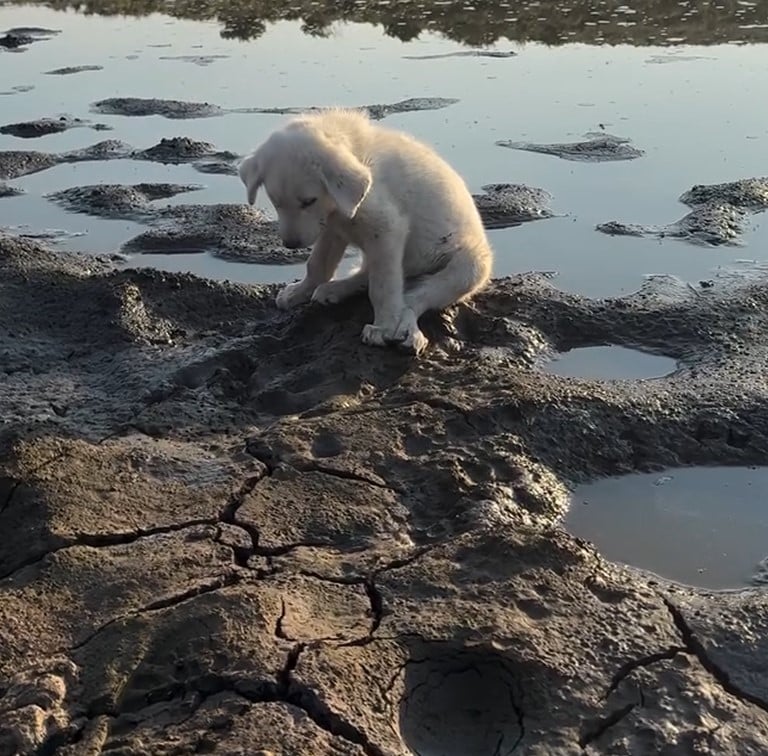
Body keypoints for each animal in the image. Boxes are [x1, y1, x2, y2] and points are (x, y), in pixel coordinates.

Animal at [237, 108, 496, 356]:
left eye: (309, 201)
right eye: (276, 202)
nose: (290, 243)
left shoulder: (386, 229)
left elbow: (382, 286)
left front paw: (384, 327)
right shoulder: (332, 229)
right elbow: (318, 264)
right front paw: (300, 292)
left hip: (468, 268)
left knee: (413, 299)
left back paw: (408, 331)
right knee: (371, 277)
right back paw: (335, 289)